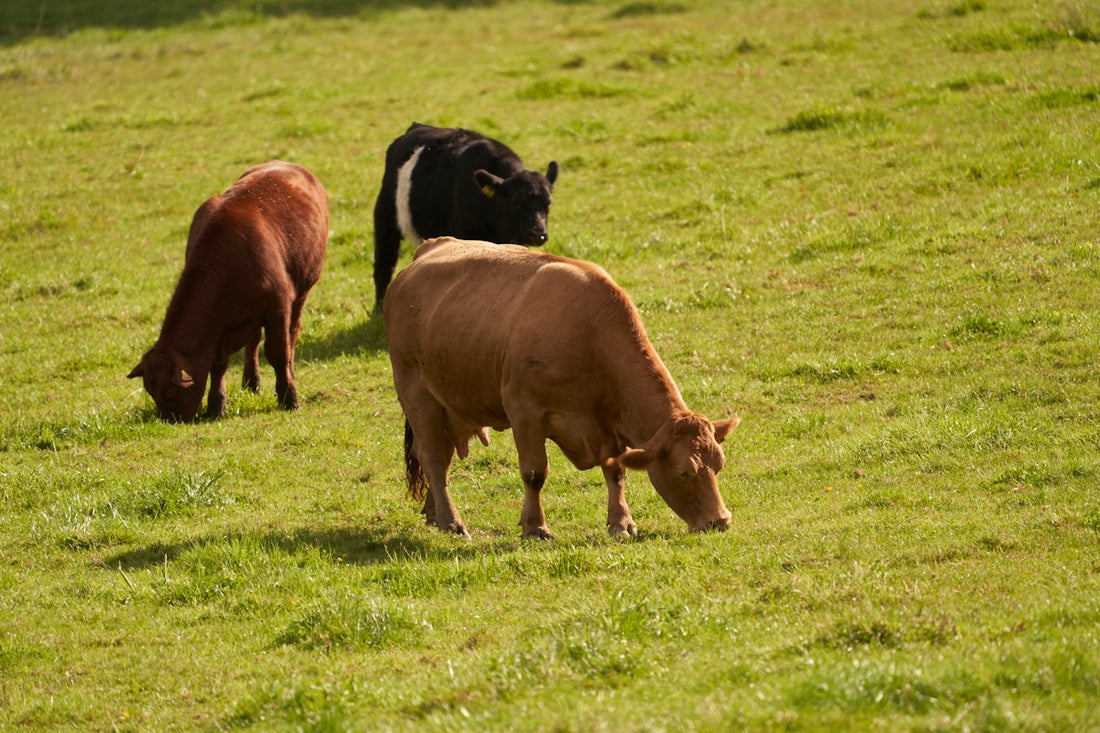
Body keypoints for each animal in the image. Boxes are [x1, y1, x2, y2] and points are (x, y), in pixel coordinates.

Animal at [128, 160, 329, 423]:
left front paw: (289, 398)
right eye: (150, 391)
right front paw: (217, 405)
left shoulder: (277, 307)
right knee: (253, 343)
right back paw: (251, 381)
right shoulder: (221, 329)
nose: (169, 420)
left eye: (171, 390)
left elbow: (277, 353)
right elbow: (218, 365)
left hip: (301, 293)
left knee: (291, 336)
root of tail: (286, 163)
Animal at [371, 122, 559, 310]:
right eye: (517, 203)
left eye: (548, 203)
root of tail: (417, 126)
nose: (539, 234)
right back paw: (379, 308)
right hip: (385, 216)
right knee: (384, 263)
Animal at [383, 236, 739, 538]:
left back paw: (433, 514)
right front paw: (535, 527)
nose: (720, 521)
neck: (589, 335)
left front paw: (621, 523)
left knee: (438, 459)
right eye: (683, 472)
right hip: (416, 392)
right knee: (432, 457)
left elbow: (615, 470)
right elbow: (534, 473)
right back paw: (451, 521)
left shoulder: (608, 427)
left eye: (718, 465)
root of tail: (428, 248)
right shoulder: (524, 412)